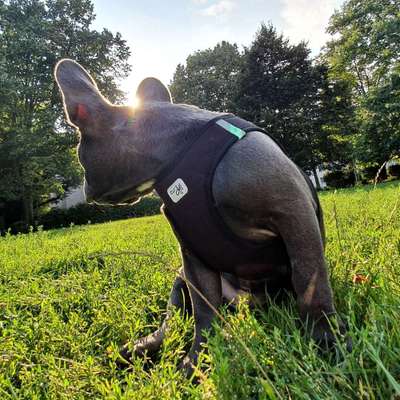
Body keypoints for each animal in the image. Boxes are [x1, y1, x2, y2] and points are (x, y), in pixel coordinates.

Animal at [54, 57, 350, 376]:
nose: (85, 186)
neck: (179, 151)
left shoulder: (293, 213)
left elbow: (310, 280)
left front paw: (325, 339)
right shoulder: (193, 257)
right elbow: (204, 312)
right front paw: (197, 361)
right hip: (180, 279)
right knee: (171, 323)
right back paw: (140, 349)